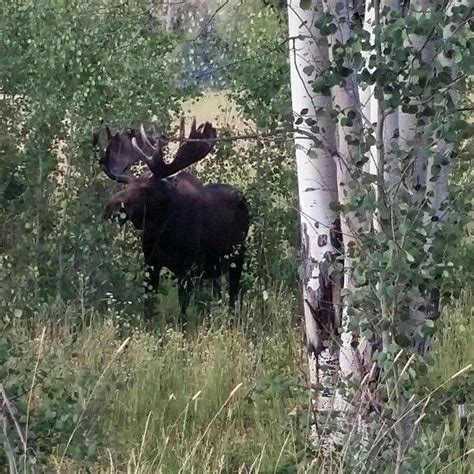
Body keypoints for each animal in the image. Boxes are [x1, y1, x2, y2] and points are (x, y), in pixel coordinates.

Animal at [92, 119, 250, 318]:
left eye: (145, 190)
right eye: (127, 186)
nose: (110, 207)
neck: (164, 229)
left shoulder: (188, 270)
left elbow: (182, 312)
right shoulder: (151, 263)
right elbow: (149, 305)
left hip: (238, 256)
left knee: (233, 297)